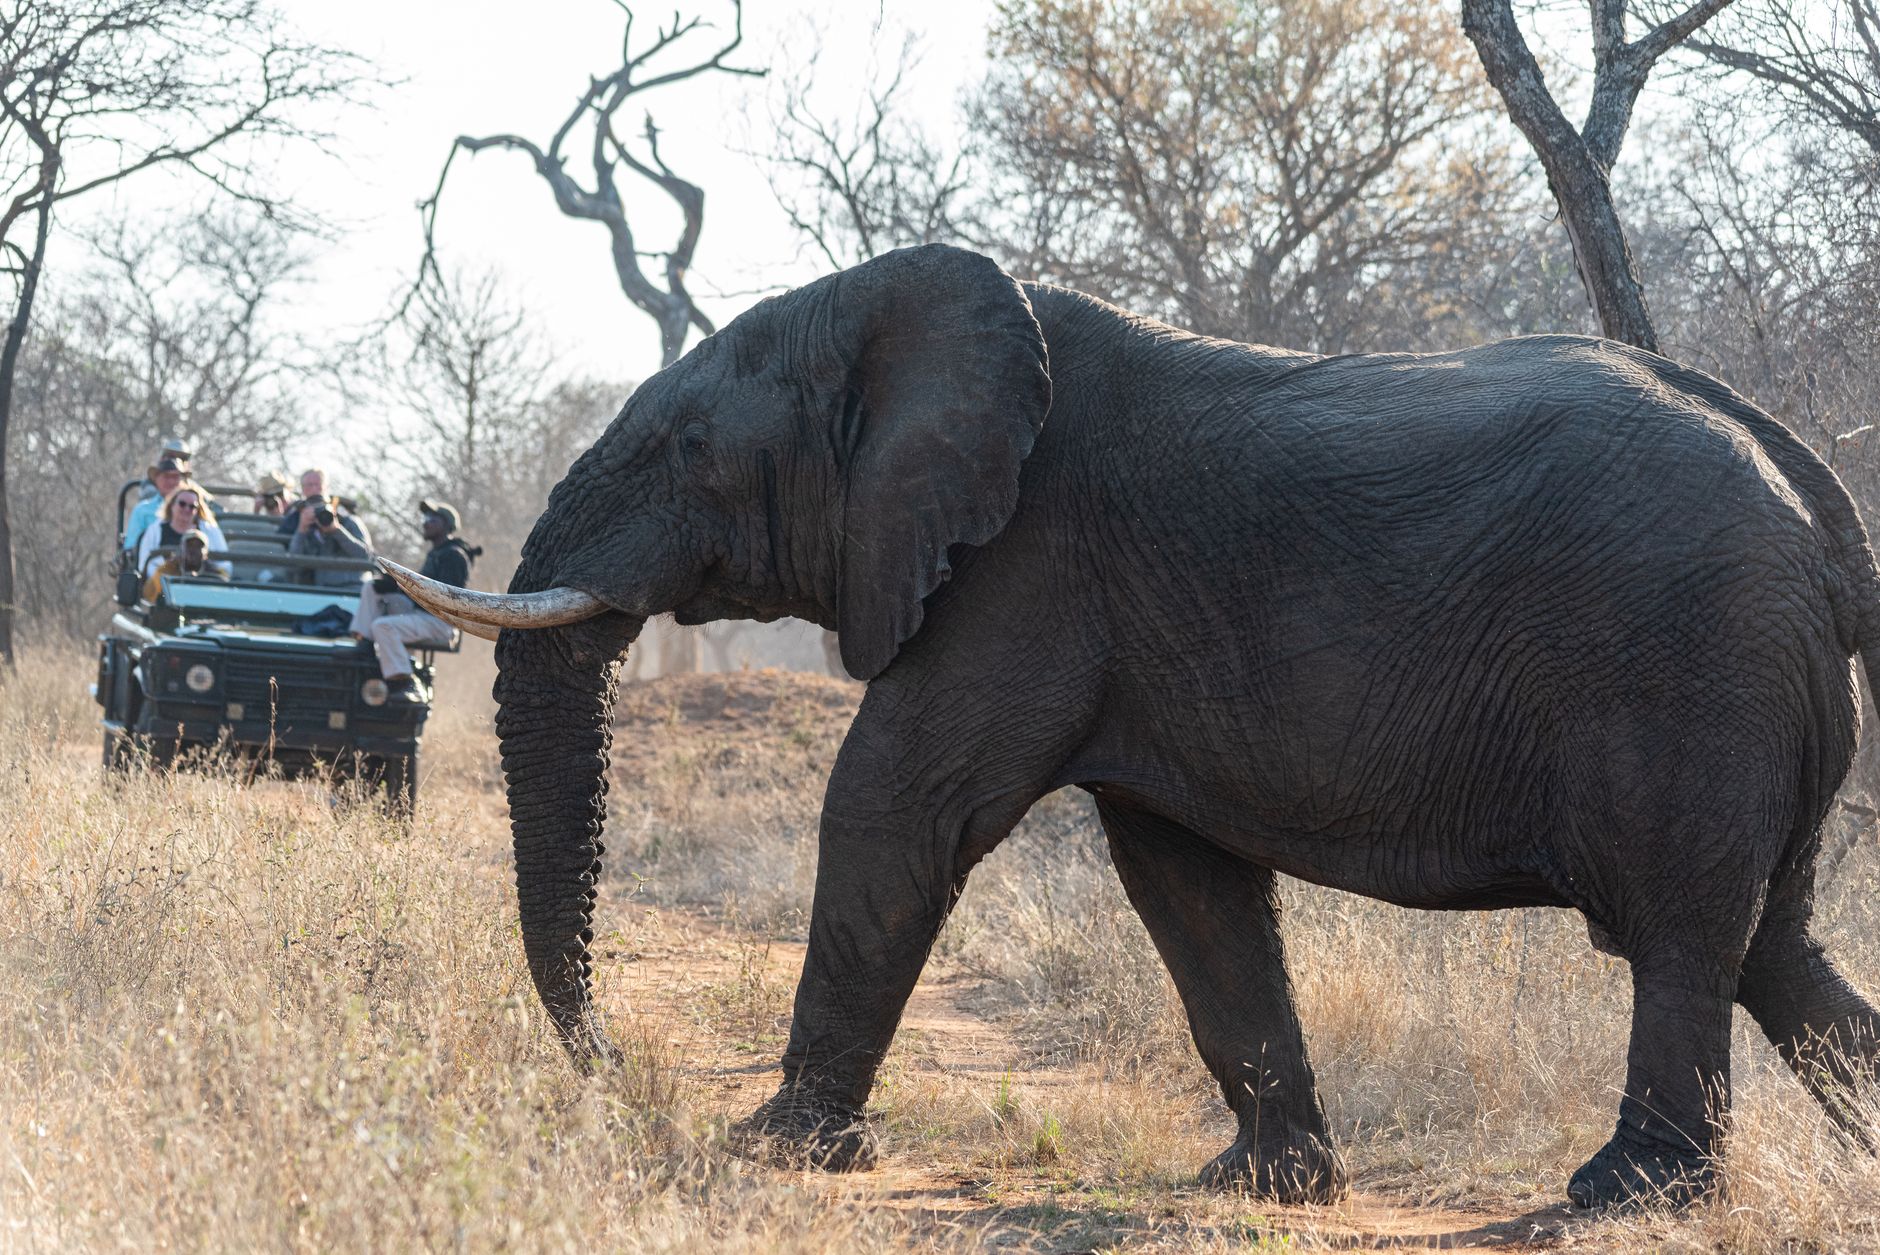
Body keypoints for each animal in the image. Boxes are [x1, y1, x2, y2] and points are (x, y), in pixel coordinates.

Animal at [384, 243, 1880, 1210]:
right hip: (1750, 699)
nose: (615, 1066)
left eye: (688, 452)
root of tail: (1816, 507)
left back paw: (1624, 1193)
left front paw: (774, 1145)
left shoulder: (1021, 571)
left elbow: (892, 807)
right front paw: (1267, 1184)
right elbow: (1183, 877)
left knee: (1682, 932)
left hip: (1690, 671)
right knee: (1771, 943)